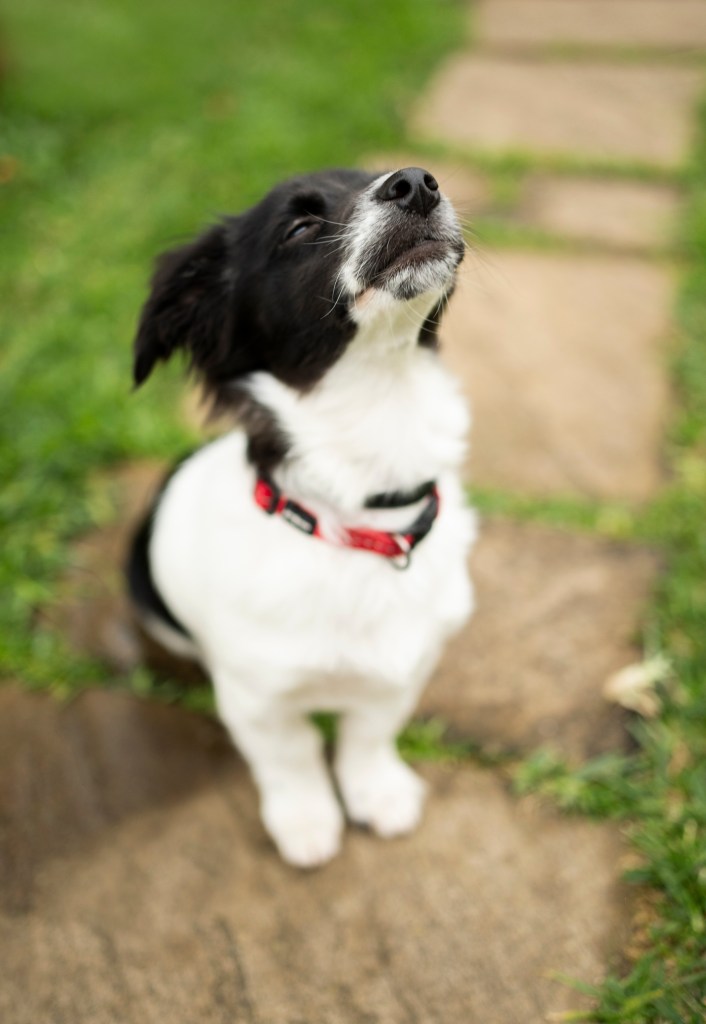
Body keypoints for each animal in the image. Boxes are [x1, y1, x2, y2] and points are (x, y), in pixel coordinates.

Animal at [129, 165, 475, 864]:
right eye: (299, 226)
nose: (416, 182)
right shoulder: (257, 700)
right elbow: (293, 757)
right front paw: (306, 822)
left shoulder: (409, 670)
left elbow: (369, 735)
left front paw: (377, 793)